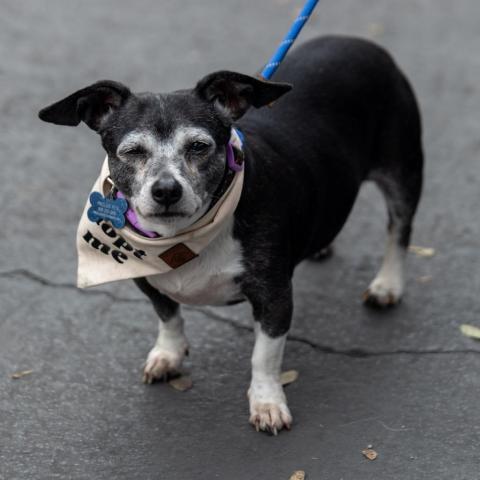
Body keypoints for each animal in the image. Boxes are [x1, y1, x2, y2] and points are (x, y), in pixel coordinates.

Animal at [39, 36, 422, 436]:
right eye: (133, 151)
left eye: (198, 146)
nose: (166, 190)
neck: (180, 239)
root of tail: (359, 42)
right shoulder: (146, 279)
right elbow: (168, 315)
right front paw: (168, 354)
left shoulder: (274, 297)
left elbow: (264, 356)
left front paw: (267, 403)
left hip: (403, 170)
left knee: (399, 230)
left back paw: (387, 285)